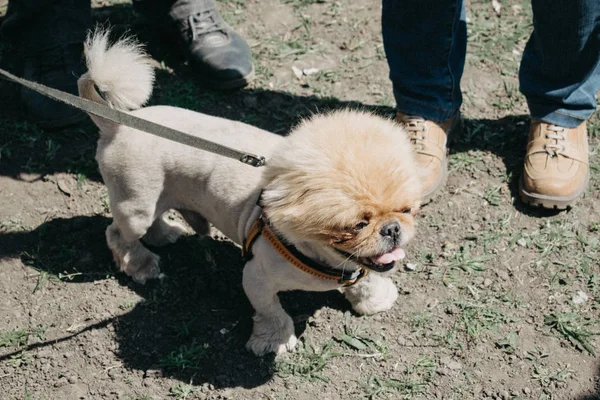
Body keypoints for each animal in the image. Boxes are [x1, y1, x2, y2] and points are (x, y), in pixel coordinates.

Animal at [78, 31, 422, 356]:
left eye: (406, 210)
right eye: (357, 225)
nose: (392, 229)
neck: (326, 259)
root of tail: (116, 125)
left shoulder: (365, 264)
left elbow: (368, 276)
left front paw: (374, 298)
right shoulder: (256, 278)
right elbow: (272, 313)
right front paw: (274, 341)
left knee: (153, 220)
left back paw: (165, 235)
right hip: (136, 205)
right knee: (119, 235)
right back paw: (142, 265)